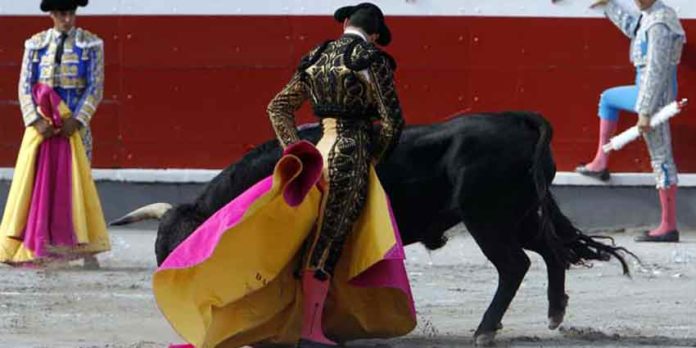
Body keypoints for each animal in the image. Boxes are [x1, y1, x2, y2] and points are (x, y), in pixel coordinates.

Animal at [111, 111, 632, 346]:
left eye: (186, 249)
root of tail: (520, 120)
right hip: (519, 214)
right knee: (551, 251)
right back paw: (555, 313)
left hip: (489, 219)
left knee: (515, 265)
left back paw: (486, 329)